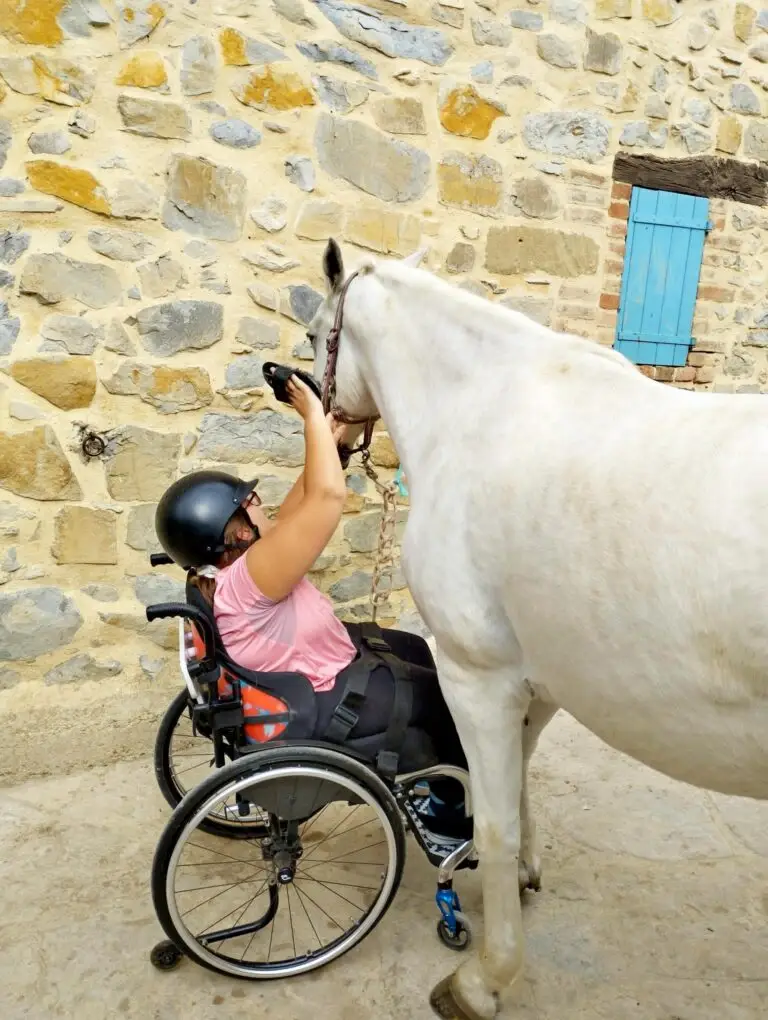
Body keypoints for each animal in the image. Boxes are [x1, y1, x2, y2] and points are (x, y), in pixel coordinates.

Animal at [308, 239, 768, 1020]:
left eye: (315, 335)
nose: (334, 436)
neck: (480, 411)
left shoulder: (476, 676)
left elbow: (493, 824)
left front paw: (484, 979)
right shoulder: (542, 679)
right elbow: (519, 790)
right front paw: (525, 878)